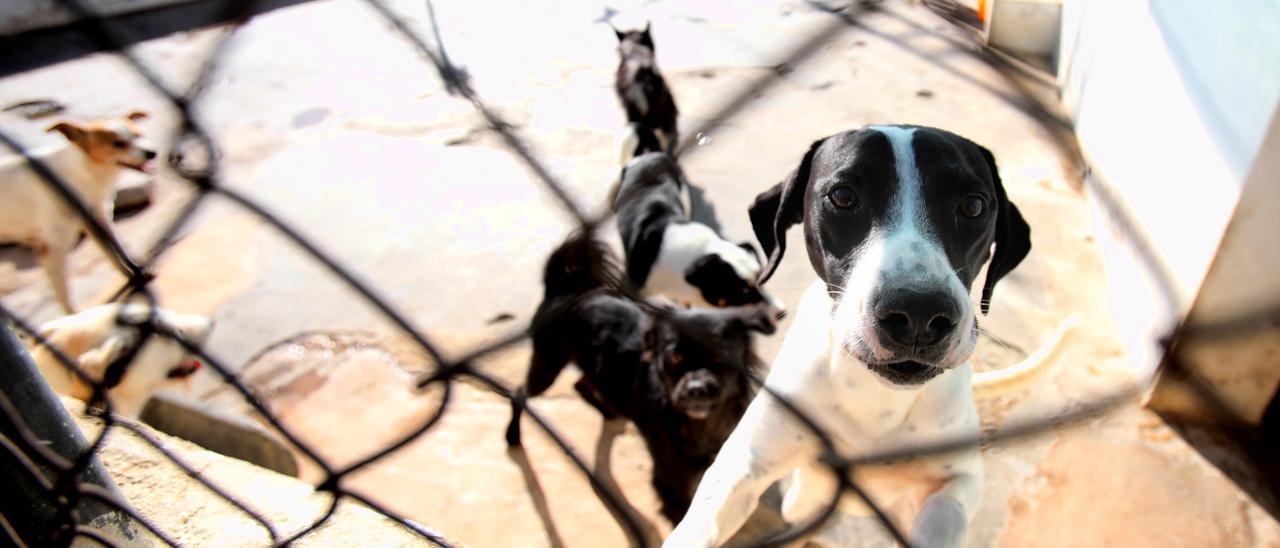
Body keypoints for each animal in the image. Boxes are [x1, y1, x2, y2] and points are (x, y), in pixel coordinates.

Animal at [1, 112, 156, 312]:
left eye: (139, 135)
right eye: (118, 144)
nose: (152, 152)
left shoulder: (99, 223)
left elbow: (117, 254)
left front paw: (136, 275)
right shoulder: (52, 248)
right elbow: (64, 294)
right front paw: (75, 315)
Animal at [665, 126, 1075, 545]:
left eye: (974, 206)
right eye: (843, 197)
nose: (918, 313)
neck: (875, 398)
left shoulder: (959, 481)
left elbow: (943, 514)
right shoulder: (745, 462)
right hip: (799, 503)